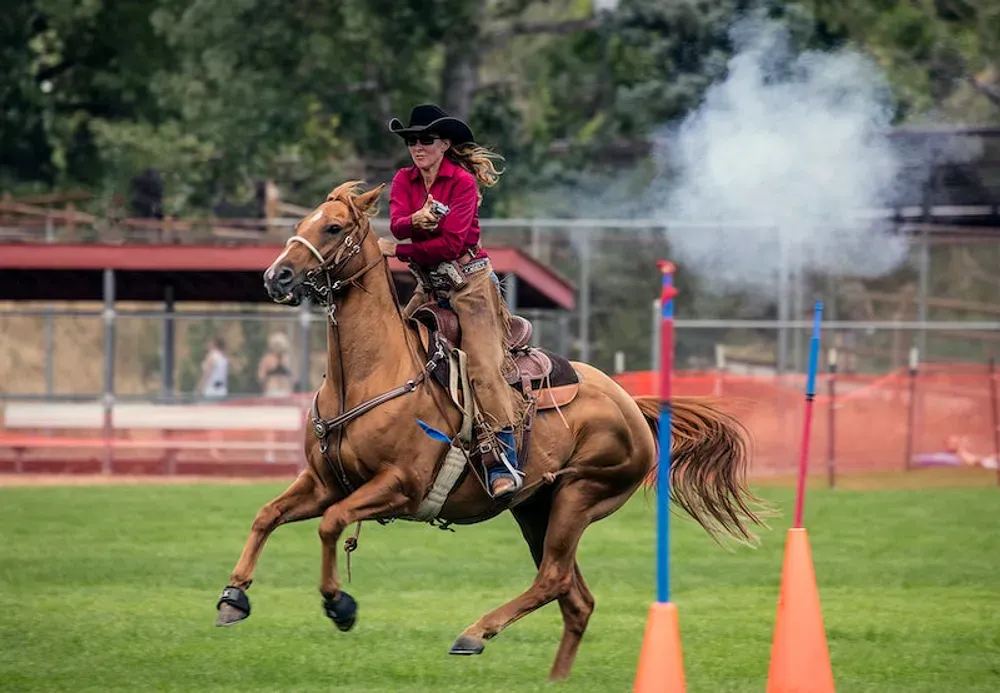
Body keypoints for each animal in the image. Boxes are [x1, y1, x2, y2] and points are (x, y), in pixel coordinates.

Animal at [215, 181, 764, 680]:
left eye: (332, 227)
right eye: (301, 221)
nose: (277, 276)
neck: (373, 374)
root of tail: (630, 402)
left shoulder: (398, 487)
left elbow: (331, 524)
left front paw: (339, 604)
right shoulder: (325, 482)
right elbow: (267, 515)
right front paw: (233, 596)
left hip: (579, 497)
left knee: (553, 580)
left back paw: (473, 634)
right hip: (536, 510)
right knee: (575, 598)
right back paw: (551, 679)